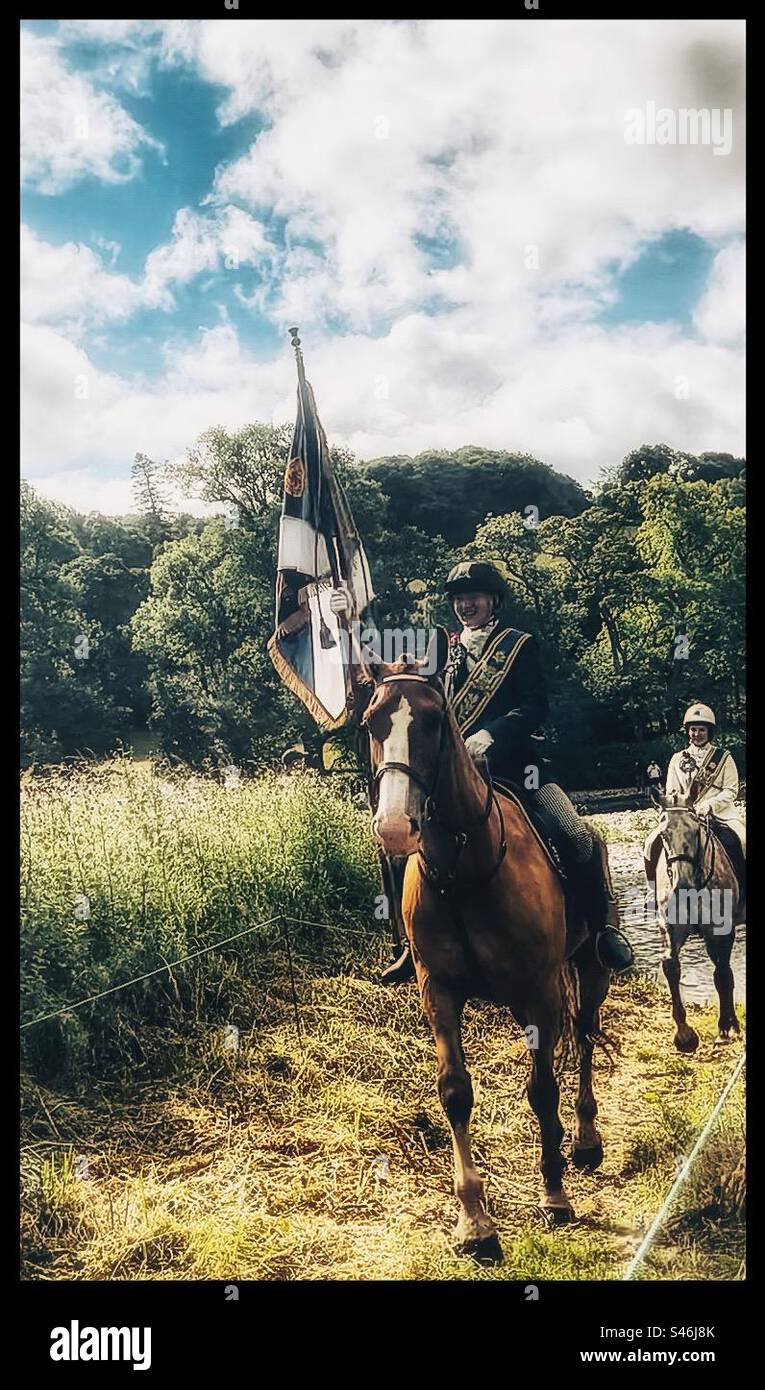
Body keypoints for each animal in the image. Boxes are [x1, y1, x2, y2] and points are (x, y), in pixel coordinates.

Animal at [361, 647, 614, 1262]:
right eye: (372, 723)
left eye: (434, 721)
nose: (394, 827)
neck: (464, 873)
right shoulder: (439, 991)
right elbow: (455, 1093)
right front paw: (474, 1222)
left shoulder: (540, 991)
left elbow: (542, 1090)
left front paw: (554, 1195)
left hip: (588, 969)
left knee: (586, 1038)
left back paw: (586, 1140)